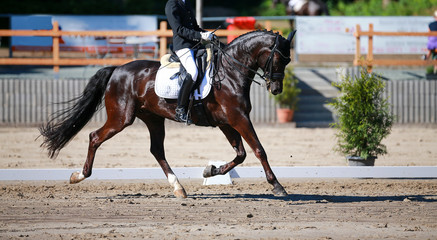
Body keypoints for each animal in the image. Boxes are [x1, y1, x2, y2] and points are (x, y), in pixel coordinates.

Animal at [40, 30, 292, 198]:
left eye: (287, 60)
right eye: (279, 58)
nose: (276, 89)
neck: (230, 73)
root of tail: (117, 69)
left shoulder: (227, 122)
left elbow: (240, 154)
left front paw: (211, 171)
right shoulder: (238, 118)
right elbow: (258, 150)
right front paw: (277, 186)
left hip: (153, 118)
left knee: (157, 150)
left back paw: (178, 187)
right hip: (121, 118)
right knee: (95, 137)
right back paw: (79, 176)